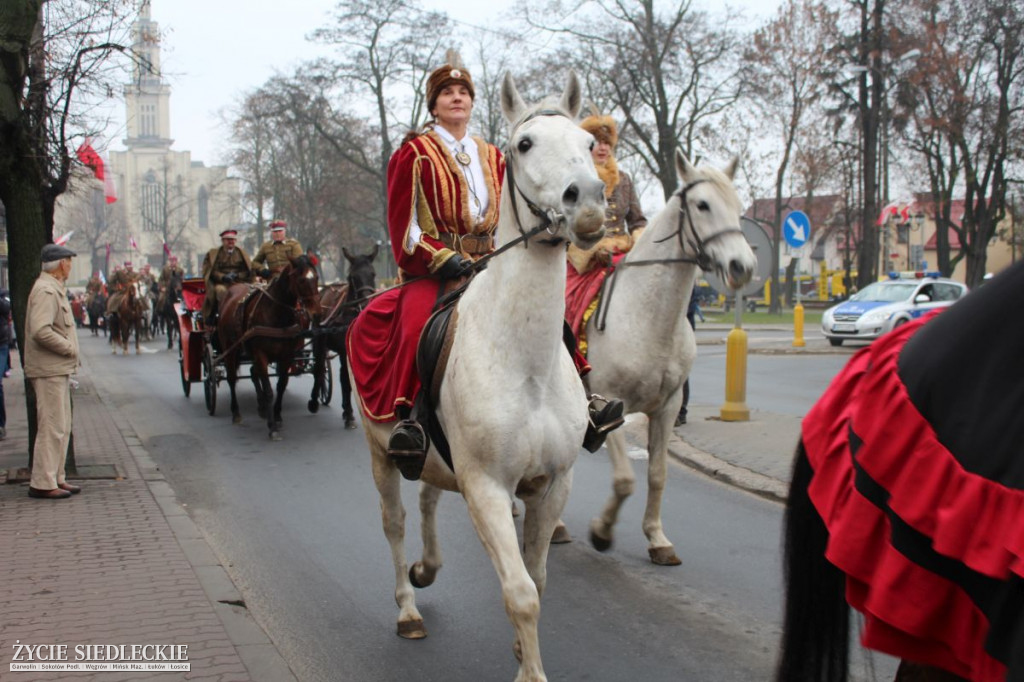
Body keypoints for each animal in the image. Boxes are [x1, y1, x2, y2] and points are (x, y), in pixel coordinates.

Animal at [218, 256, 321, 440]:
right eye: (301, 280)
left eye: (316, 278)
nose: (317, 314)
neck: (276, 314)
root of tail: (232, 288)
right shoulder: (261, 354)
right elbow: (268, 390)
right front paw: (272, 426)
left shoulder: (287, 355)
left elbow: (281, 385)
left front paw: (277, 415)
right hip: (229, 348)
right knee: (231, 378)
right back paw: (236, 413)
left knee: (253, 372)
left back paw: (261, 408)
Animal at [311, 244, 380, 425]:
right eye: (352, 277)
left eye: (373, 274)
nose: (365, 303)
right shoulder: (344, 349)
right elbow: (344, 378)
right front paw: (348, 412)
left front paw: (348, 411)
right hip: (319, 339)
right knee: (319, 367)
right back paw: (314, 400)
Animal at [352, 73, 606, 679]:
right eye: (525, 144)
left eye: (589, 144)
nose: (587, 203)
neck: (524, 362)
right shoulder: (488, 488)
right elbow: (521, 592)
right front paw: (529, 670)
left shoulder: (552, 484)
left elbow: (538, 579)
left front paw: (520, 649)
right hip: (379, 454)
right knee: (395, 521)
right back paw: (408, 607)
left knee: (427, 498)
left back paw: (427, 568)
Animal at [581, 153, 757, 561]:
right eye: (703, 204)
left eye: (739, 207)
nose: (742, 266)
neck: (648, 319)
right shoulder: (609, 405)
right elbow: (625, 480)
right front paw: (601, 532)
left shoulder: (668, 406)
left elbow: (657, 475)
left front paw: (657, 539)